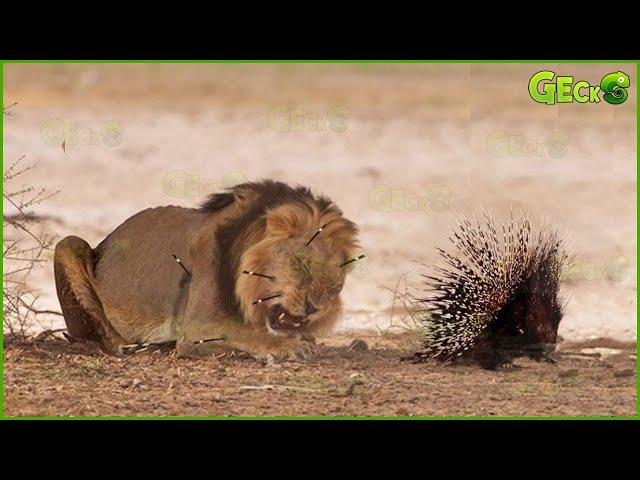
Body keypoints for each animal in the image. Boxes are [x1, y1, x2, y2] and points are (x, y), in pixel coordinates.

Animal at [52, 182, 360, 358]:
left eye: (336, 286)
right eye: (301, 265)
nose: (314, 308)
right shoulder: (199, 324)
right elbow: (245, 333)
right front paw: (288, 347)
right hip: (68, 244)